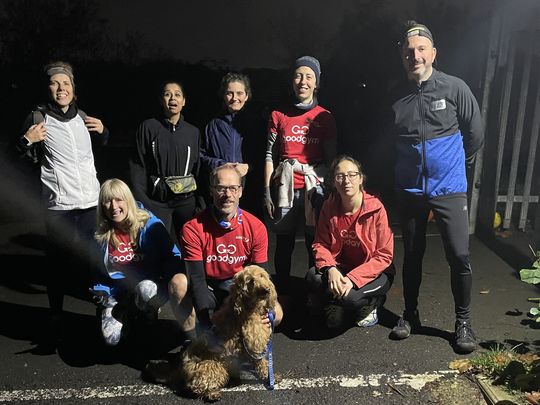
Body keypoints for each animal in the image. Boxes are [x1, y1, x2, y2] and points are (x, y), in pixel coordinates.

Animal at [184, 264, 280, 400]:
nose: (266, 290)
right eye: (250, 281)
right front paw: (269, 376)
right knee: (198, 386)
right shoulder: (254, 342)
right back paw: (211, 393)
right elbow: (261, 361)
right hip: (214, 367)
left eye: (262, 276)